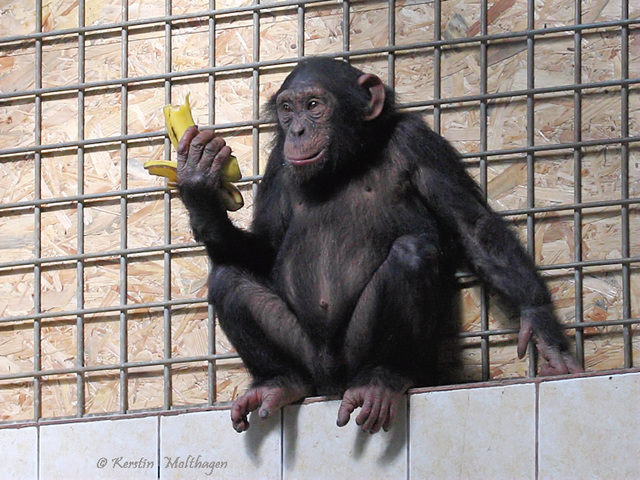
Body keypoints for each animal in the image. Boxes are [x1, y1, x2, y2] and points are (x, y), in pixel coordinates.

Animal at [174, 56, 580, 436]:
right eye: (287, 109)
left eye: (314, 105)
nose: (298, 130)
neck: (349, 161)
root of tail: (332, 384)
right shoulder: (277, 164)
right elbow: (266, 246)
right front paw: (200, 186)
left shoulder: (418, 142)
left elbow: (472, 226)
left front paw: (541, 322)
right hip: (303, 353)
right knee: (228, 277)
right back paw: (278, 381)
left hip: (358, 352)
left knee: (412, 253)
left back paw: (383, 379)